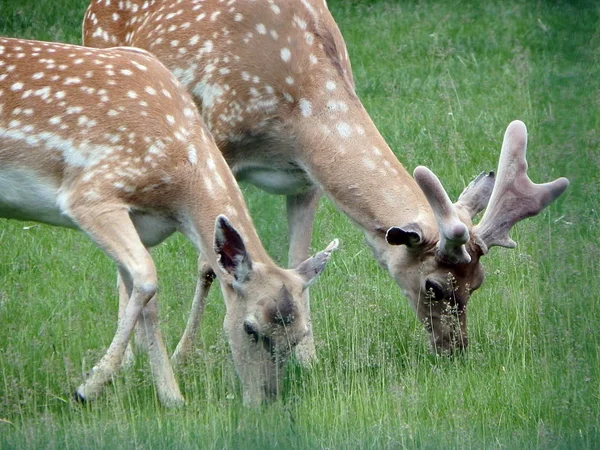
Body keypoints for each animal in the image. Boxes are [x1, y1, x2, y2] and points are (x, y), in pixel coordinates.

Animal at [0, 37, 338, 406]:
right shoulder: (89, 194)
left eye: (301, 334)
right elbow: (148, 278)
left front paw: (171, 397)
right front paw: (88, 387)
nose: (265, 400)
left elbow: (147, 299)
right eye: (250, 328)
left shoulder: (141, 223)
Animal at [83, 0, 568, 358]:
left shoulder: (306, 179)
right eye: (433, 285)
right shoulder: (220, 147)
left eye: (478, 283)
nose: (455, 349)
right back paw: (130, 356)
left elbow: (301, 259)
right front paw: (187, 355)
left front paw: (307, 357)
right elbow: (210, 263)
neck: (302, 111)